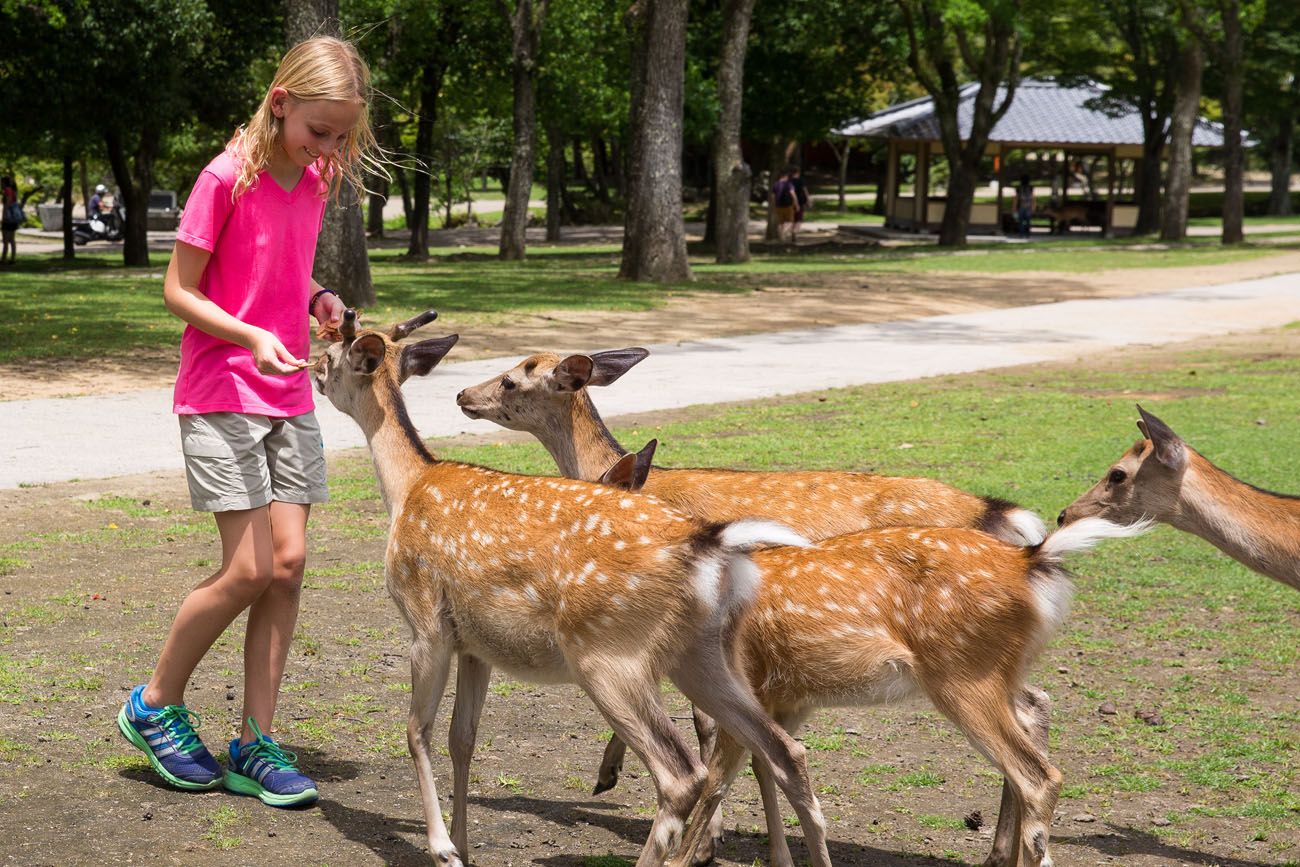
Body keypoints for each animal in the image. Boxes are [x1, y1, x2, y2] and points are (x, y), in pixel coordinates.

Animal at [312, 311, 832, 867]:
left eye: (331, 358)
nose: (312, 371)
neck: (407, 489)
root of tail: (710, 548)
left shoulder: (425, 620)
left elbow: (416, 731)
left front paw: (443, 848)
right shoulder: (475, 644)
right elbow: (463, 738)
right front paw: (465, 844)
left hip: (607, 654)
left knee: (681, 773)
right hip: (705, 654)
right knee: (783, 750)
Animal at [603, 454, 1154, 867]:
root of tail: (1034, 561)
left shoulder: (747, 686)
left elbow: (719, 777)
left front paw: (687, 857)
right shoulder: (786, 699)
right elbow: (769, 768)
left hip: (964, 676)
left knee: (1039, 775)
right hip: (1001, 672)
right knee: (1036, 717)